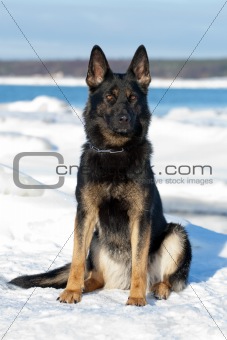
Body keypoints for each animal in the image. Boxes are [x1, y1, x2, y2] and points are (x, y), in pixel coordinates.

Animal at [10, 45, 192, 306]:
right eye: (109, 97)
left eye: (133, 98)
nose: (124, 119)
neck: (114, 151)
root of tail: (119, 281)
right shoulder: (85, 213)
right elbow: (77, 259)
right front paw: (71, 291)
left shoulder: (140, 216)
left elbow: (139, 264)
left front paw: (137, 298)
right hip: (97, 238)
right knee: (95, 276)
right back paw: (83, 286)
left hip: (176, 235)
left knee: (164, 277)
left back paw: (158, 289)